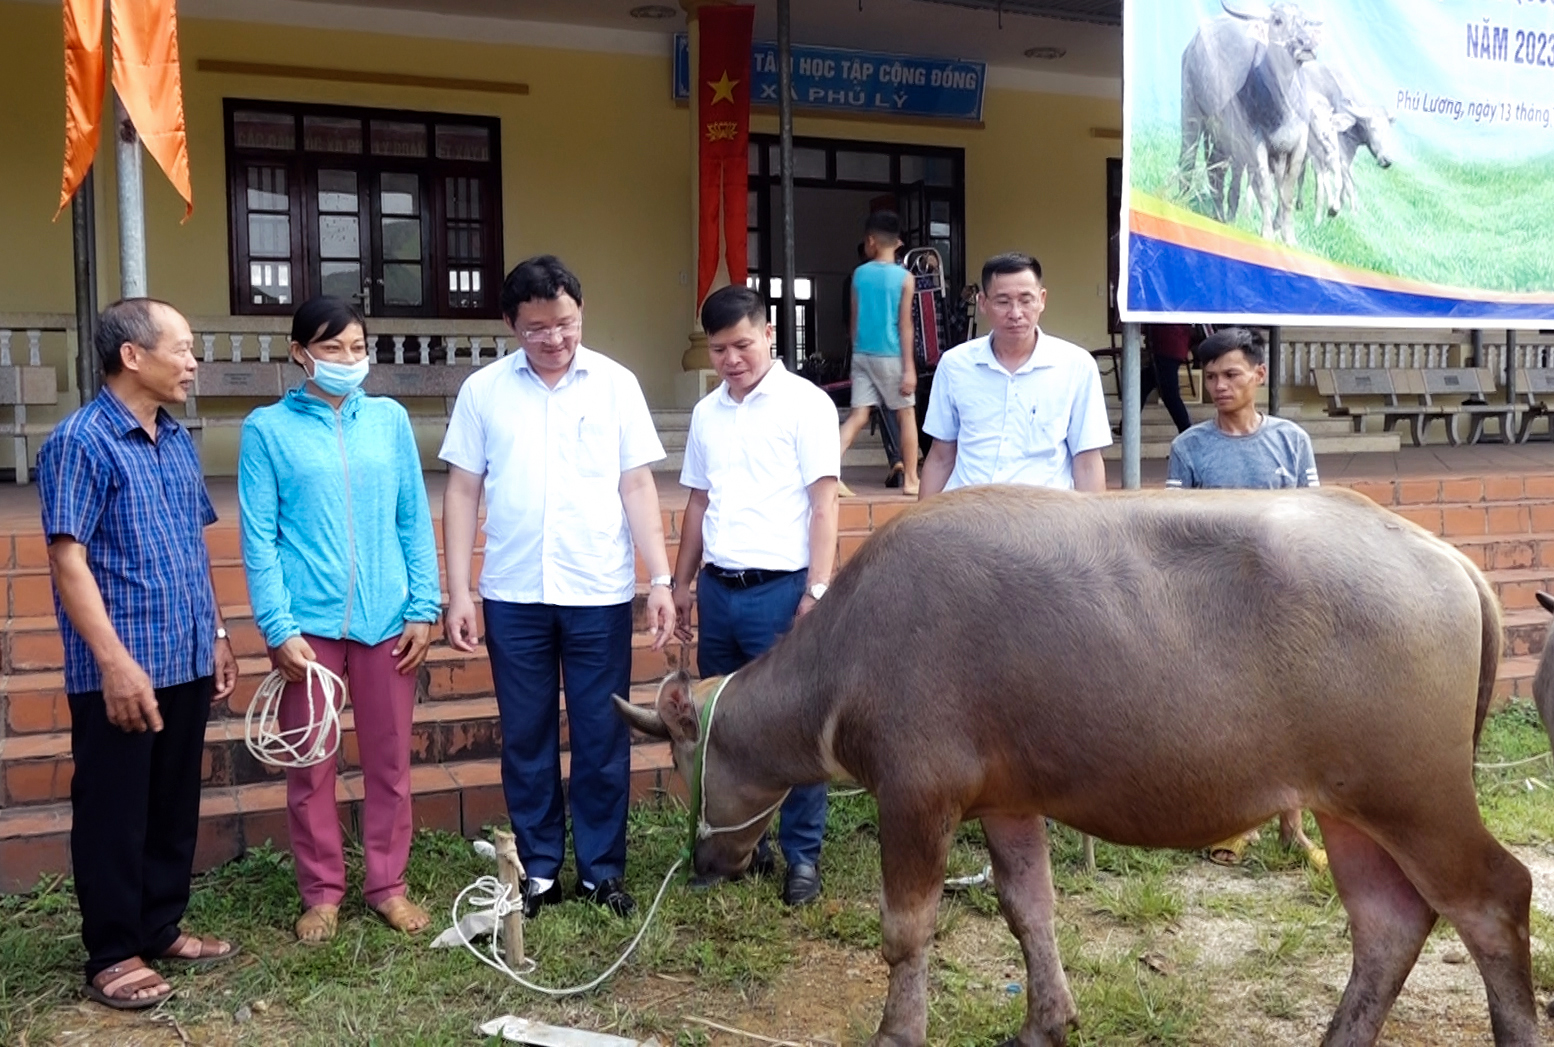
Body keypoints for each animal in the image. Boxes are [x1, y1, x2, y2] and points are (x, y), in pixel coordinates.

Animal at [618, 484, 1541, 1037]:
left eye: (686, 754)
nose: (705, 861)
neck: (848, 652)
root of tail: (1452, 562)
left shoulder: (916, 796)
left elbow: (905, 932)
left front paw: (897, 1028)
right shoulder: (1005, 800)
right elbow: (1030, 910)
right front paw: (1045, 1020)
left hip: (1417, 795)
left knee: (1496, 897)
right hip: (1347, 806)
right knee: (1388, 923)